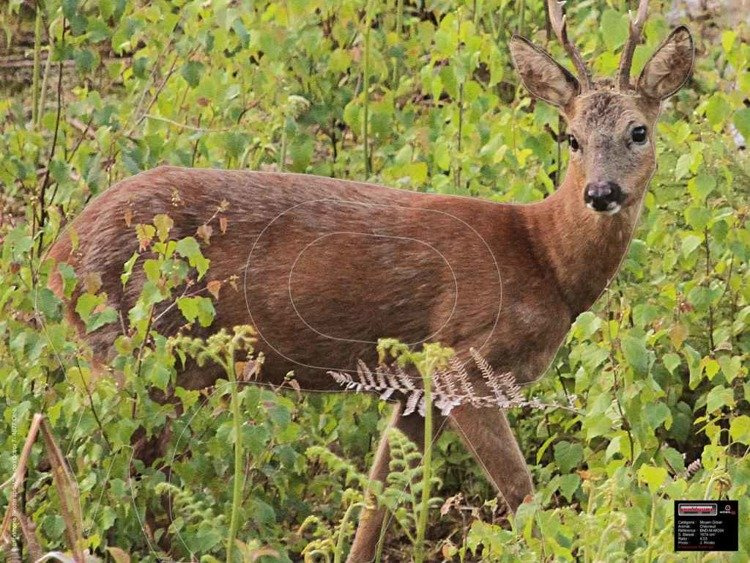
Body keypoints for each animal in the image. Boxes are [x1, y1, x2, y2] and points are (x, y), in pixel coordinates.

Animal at [45, 2, 692, 560]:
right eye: (572, 138)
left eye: (638, 131)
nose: (601, 192)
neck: (544, 260)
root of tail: (55, 257)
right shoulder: (461, 359)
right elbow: (521, 495)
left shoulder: (411, 385)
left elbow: (378, 506)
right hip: (131, 346)